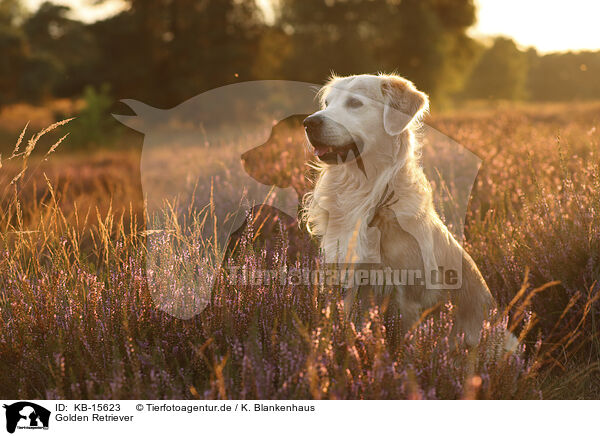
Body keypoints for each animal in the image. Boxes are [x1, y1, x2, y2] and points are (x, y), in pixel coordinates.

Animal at [304, 74, 496, 348]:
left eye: (355, 103)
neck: (368, 192)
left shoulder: (410, 297)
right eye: (328, 103)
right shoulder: (352, 285)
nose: (309, 122)